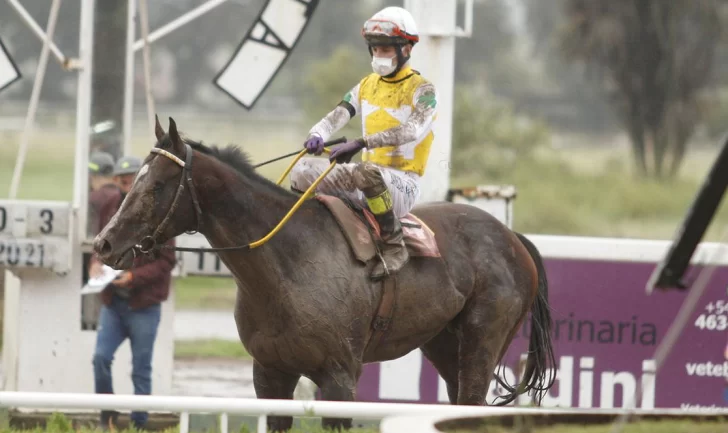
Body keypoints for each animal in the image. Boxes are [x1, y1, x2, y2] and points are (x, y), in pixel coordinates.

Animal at [92, 116, 556, 430]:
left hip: (483, 341)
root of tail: (512, 237)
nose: (104, 244)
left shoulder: (339, 381)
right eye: (133, 181)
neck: (287, 263)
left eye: (156, 186)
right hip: (443, 345)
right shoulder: (270, 375)